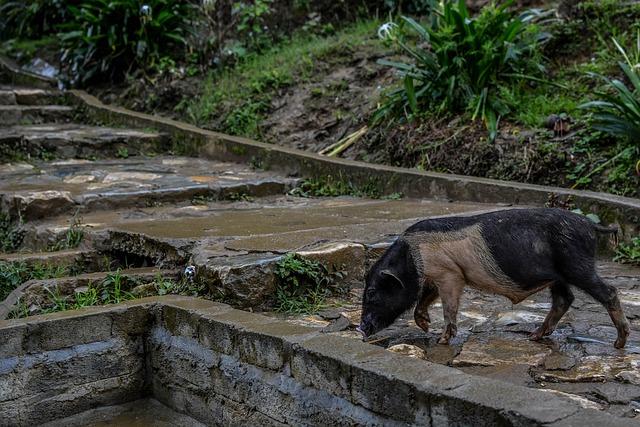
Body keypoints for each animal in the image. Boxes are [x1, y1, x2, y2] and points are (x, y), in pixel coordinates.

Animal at [357, 208, 630, 349]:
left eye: (372, 293)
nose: (361, 328)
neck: (413, 259)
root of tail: (591, 226)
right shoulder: (439, 276)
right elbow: (423, 299)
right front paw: (425, 325)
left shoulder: (450, 274)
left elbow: (449, 306)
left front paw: (440, 339)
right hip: (559, 276)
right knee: (564, 300)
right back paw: (534, 336)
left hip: (578, 266)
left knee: (609, 291)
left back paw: (619, 343)